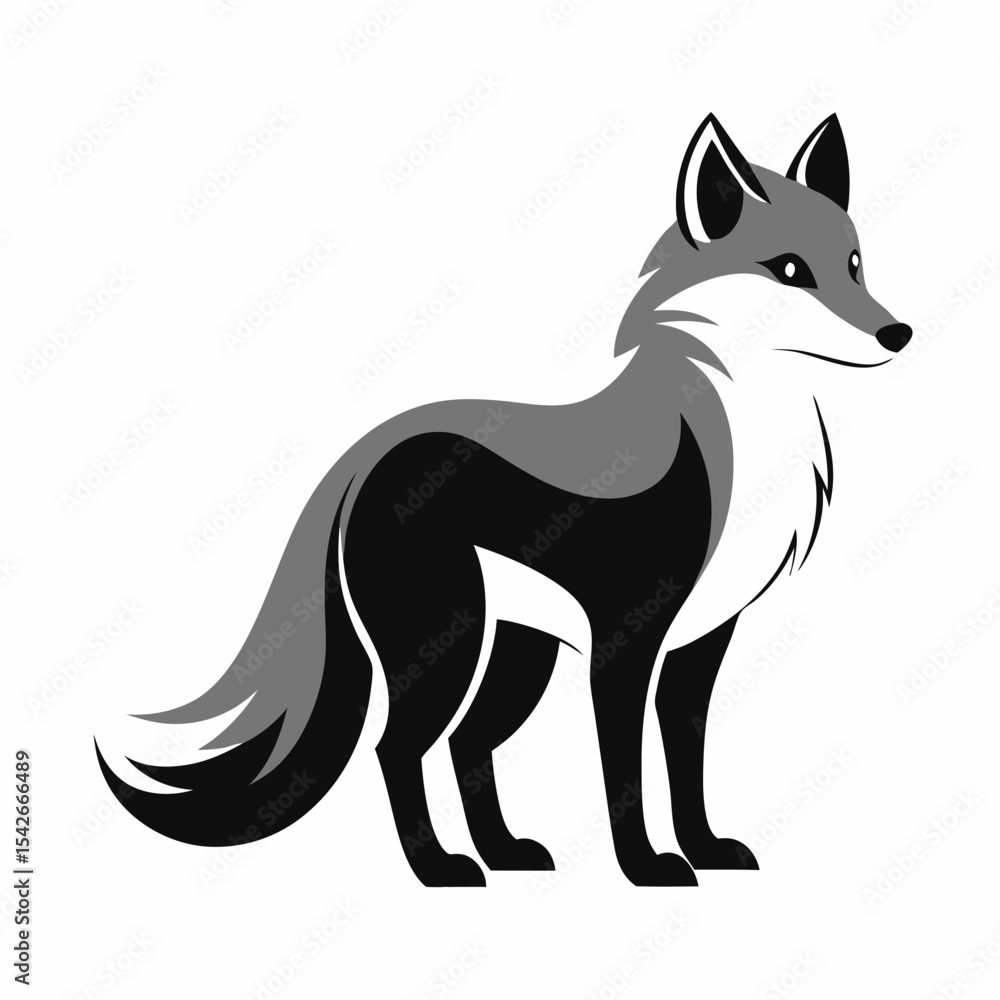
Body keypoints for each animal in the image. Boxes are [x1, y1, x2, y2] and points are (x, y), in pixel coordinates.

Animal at [96, 112, 911, 886]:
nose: (897, 333)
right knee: (397, 746)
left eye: (855, 264)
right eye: (790, 270)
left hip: (517, 649)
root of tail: (369, 454)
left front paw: (705, 850)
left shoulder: (702, 642)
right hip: (447, 643)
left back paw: (502, 853)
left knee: (466, 741)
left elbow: (687, 761)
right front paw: (646, 867)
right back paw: (439, 868)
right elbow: (624, 770)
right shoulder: (626, 640)